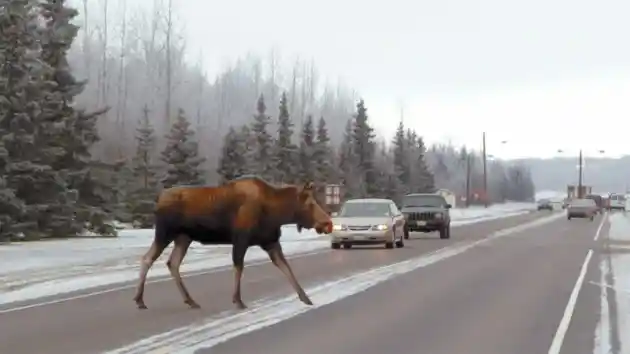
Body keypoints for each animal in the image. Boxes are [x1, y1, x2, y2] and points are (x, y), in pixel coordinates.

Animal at [131, 177, 334, 310]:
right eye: (310, 204)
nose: (328, 223)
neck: (276, 212)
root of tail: (158, 199)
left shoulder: (270, 242)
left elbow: (286, 268)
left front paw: (305, 297)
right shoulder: (241, 239)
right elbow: (238, 267)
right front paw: (238, 300)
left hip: (183, 238)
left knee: (172, 263)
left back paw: (190, 300)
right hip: (165, 233)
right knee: (147, 258)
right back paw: (140, 299)